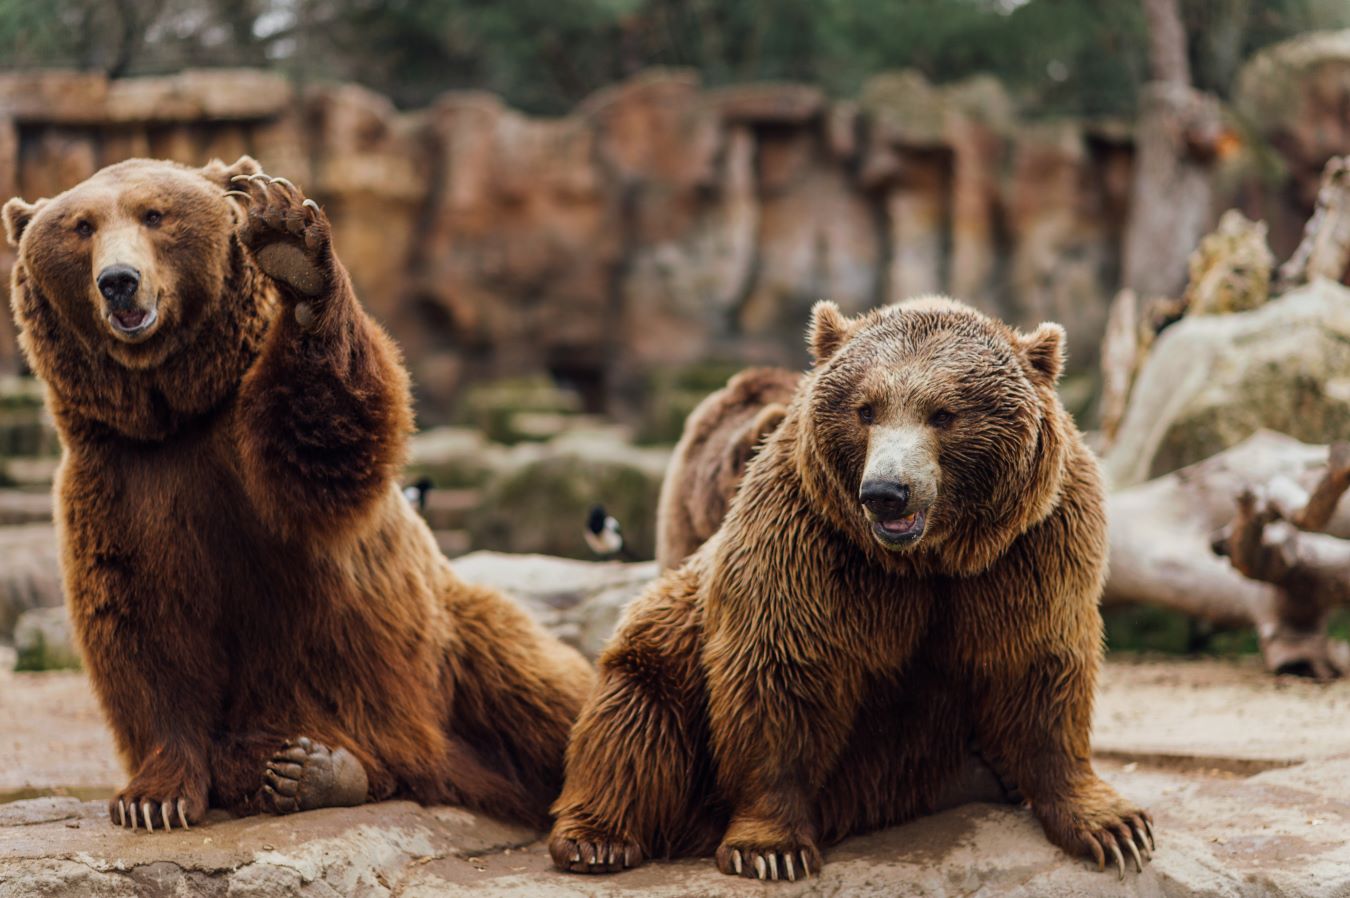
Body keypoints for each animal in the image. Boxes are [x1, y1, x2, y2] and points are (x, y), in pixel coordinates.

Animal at [2, 155, 591, 831]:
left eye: (155, 214)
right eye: (81, 226)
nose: (119, 281)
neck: (176, 414)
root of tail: (436, 768)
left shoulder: (254, 456)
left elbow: (325, 437)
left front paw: (290, 248)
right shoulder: (120, 485)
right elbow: (145, 631)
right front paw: (153, 798)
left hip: (453, 642)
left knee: (542, 692)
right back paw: (310, 769)